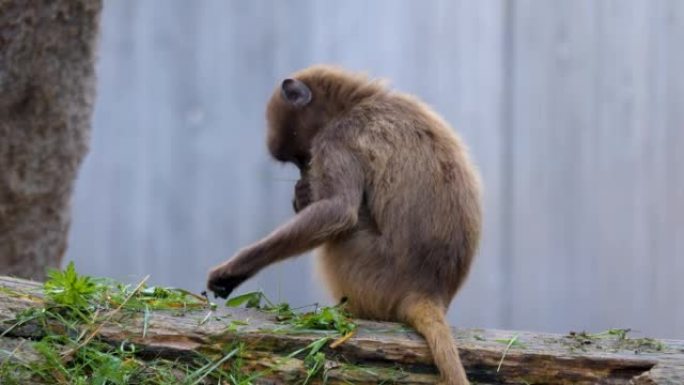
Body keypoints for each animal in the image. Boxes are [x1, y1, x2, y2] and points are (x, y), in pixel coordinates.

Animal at [207, 64, 480, 382]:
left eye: (304, 158)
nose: (304, 177)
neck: (355, 102)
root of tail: (428, 291)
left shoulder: (336, 137)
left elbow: (338, 212)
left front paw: (232, 271)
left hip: (367, 271)